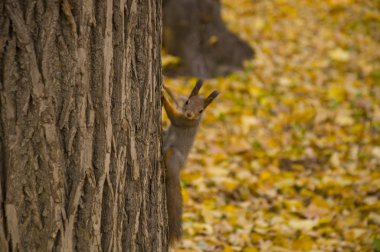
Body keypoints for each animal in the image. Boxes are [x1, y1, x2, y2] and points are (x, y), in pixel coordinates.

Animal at [161, 79, 220, 245]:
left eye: (201, 111)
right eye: (187, 101)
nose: (189, 114)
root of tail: (179, 171)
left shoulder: (185, 122)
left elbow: (173, 115)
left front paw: (162, 97)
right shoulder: (180, 104)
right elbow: (175, 97)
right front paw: (165, 85)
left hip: (173, 155)